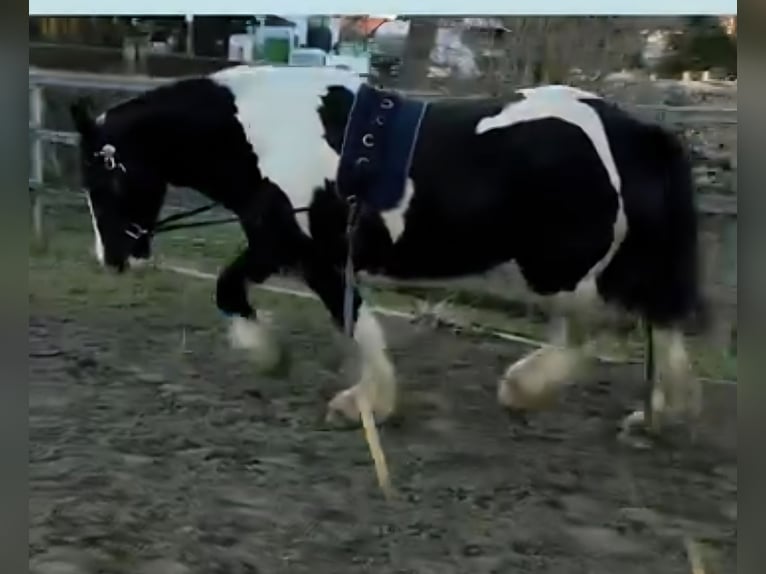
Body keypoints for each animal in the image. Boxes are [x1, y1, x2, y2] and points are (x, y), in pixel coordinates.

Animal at [70, 64, 705, 441]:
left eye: (103, 179)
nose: (113, 259)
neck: (266, 135)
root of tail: (639, 135)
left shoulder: (305, 251)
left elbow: (330, 315)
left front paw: (345, 393)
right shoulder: (287, 249)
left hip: (563, 271)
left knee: (601, 331)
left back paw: (530, 390)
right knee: (655, 323)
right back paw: (654, 415)